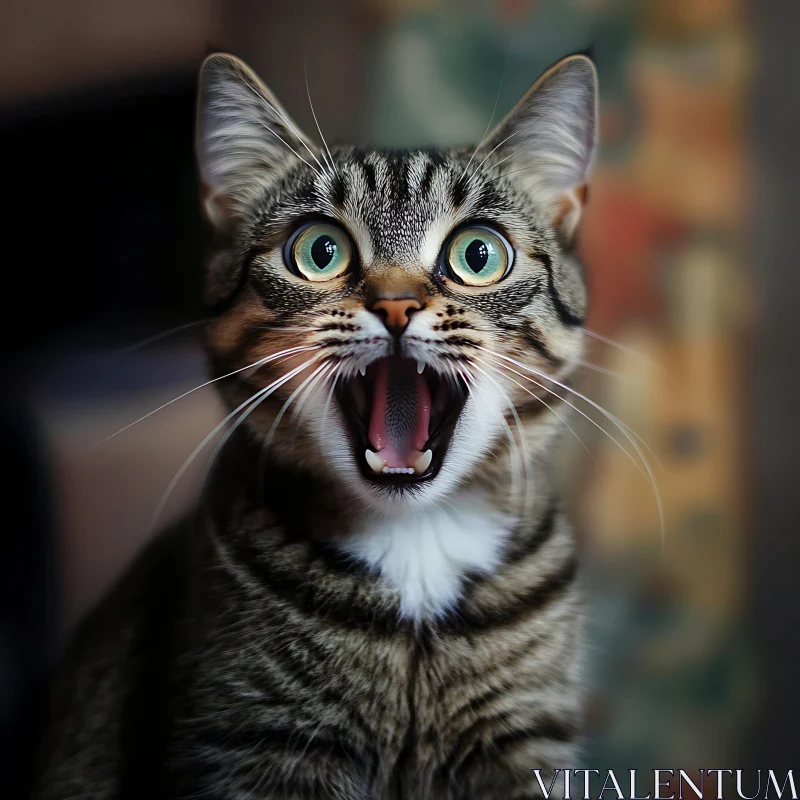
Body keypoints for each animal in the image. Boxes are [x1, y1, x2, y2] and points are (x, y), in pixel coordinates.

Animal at [39, 51, 600, 800]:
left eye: (478, 255)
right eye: (320, 252)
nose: (396, 304)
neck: (415, 539)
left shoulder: (521, 746)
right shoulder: (256, 743)